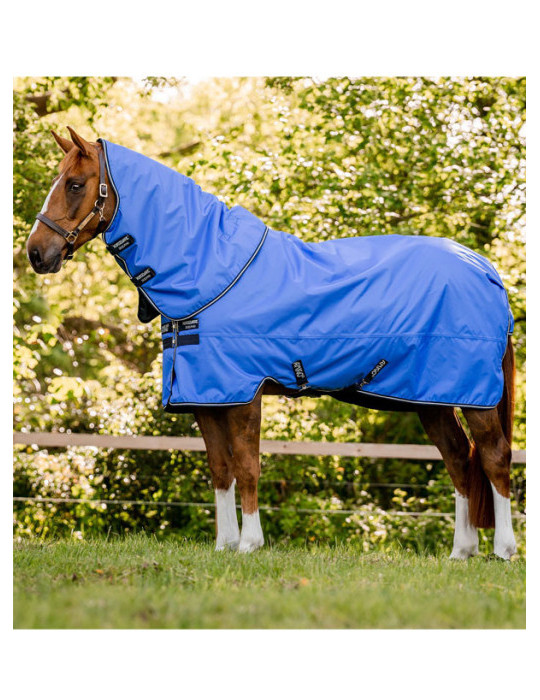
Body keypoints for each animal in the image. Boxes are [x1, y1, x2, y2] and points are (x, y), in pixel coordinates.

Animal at [26, 126, 518, 559]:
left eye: (74, 184)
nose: (36, 253)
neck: (211, 269)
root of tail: (483, 267)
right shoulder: (205, 398)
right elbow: (220, 470)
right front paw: (224, 545)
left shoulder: (245, 393)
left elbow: (247, 466)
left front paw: (250, 544)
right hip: (433, 398)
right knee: (459, 460)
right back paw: (461, 551)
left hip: (475, 397)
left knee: (493, 457)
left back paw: (503, 550)